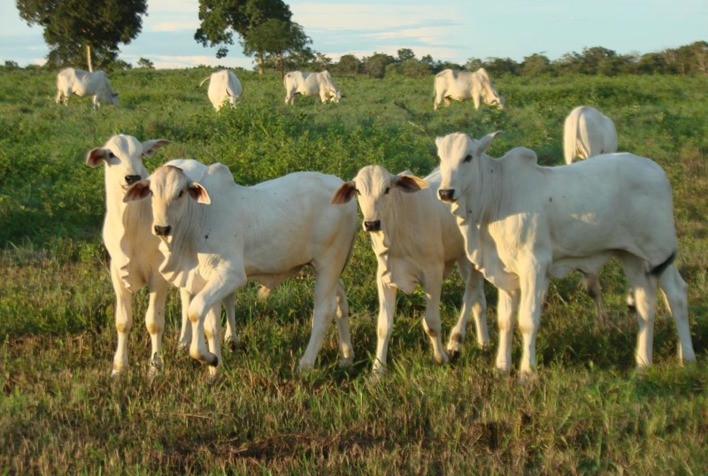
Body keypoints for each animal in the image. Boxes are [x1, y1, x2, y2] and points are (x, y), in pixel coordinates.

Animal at [87, 136, 238, 378]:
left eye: (140, 154)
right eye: (111, 154)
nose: (132, 177)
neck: (132, 225)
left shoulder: (157, 274)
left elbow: (154, 322)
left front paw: (155, 368)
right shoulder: (116, 273)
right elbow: (122, 321)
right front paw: (119, 368)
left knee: (228, 297)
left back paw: (231, 339)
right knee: (186, 297)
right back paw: (184, 341)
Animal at [123, 164, 360, 376]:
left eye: (180, 192)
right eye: (151, 192)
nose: (161, 228)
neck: (198, 219)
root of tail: (339, 185)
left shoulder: (231, 275)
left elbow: (195, 310)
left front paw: (208, 358)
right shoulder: (208, 279)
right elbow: (211, 326)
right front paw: (214, 371)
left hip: (329, 262)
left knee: (324, 310)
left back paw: (305, 366)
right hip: (326, 267)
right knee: (340, 300)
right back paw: (346, 357)